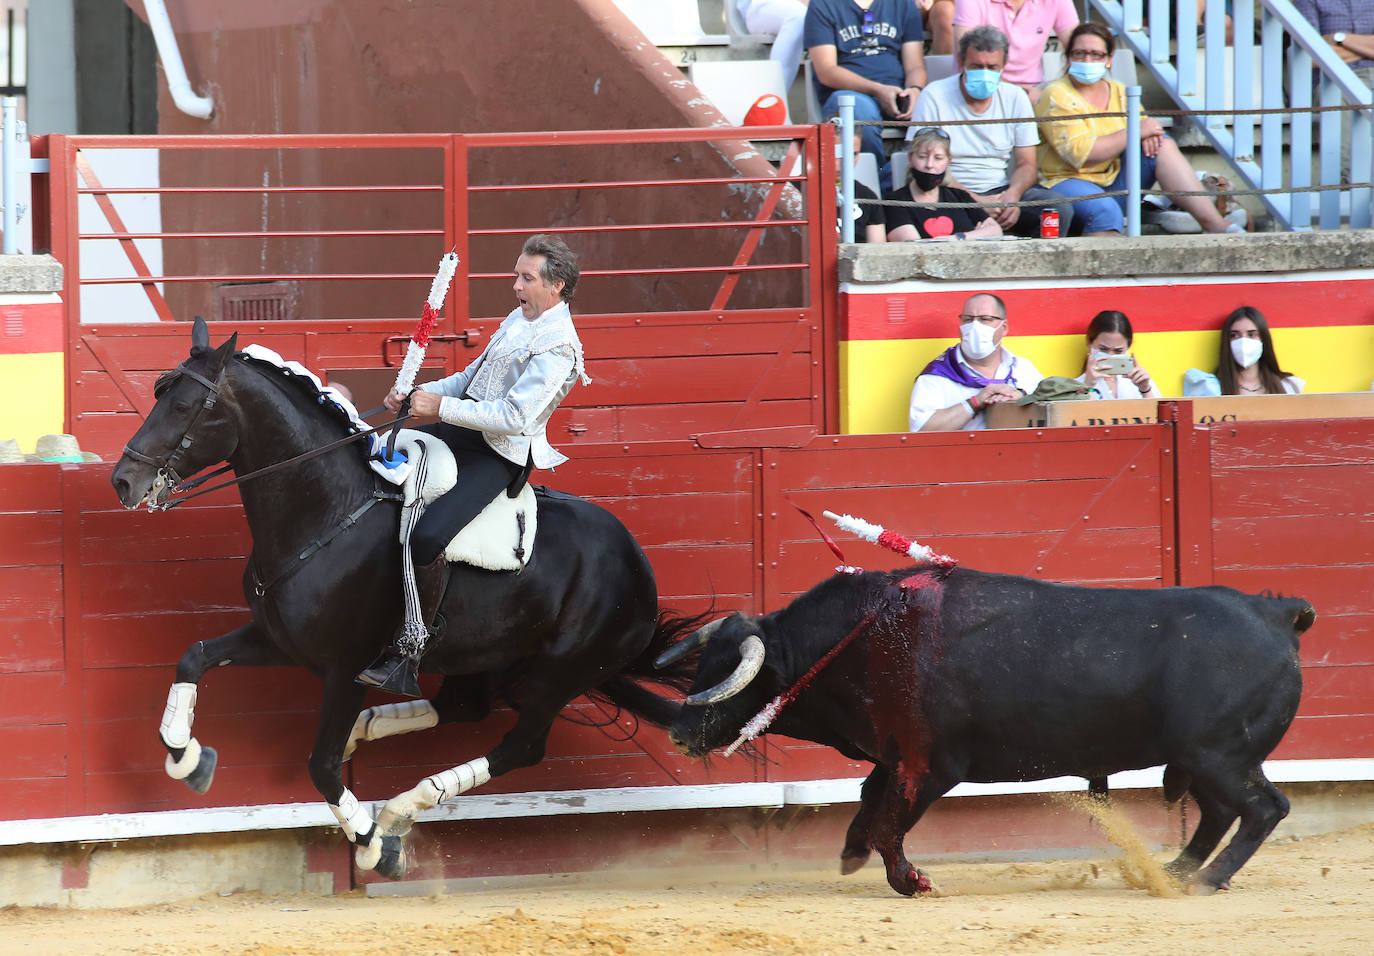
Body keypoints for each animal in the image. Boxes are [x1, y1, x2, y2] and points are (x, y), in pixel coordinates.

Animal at [111, 318, 687, 873]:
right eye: (161, 392)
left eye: (183, 405)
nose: (123, 481)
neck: (328, 509)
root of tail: (637, 565)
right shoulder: (279, 640)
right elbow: (195, 657)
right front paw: (186, 758)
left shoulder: (347, 670)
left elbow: (322, 767)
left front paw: (373, 848)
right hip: (487, 654)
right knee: (464, 706)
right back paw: (377, 759)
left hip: (560, 672)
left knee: (520, 745)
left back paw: (397, 810)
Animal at [659, 563, 1313, 890]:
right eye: (703, 662)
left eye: (727, 674)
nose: (680, 732)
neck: (863, 638)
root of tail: (1273, 612)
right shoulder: (896, 757)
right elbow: (871, 804)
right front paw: (851, 852)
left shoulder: (931, 767)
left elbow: (892, 823)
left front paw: (911, 880)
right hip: (1206, 758)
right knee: (1222, 812)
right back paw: (1176, 872)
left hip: (1219, 755)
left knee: (1264, 809)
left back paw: (1203, 880)